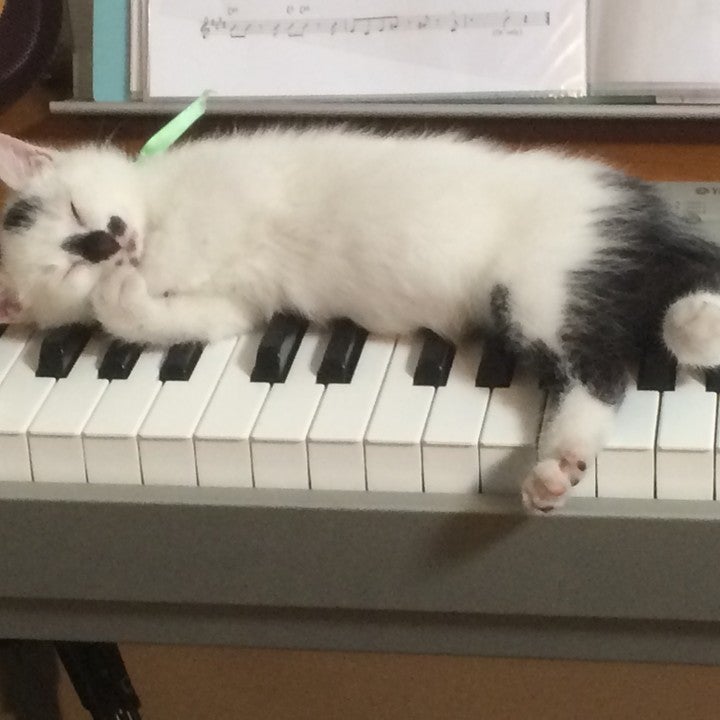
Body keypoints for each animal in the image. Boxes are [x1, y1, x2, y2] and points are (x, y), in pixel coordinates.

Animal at [1, 126, 719, 513]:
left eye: (75, 208)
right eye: (65, 267)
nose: (103, 243)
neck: (156, 204)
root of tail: (648, 219)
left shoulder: (230, 188)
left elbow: (177, 253)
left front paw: (131, 277)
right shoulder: (233, 306)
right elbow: (161, 315)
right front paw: (117, 293)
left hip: (540, 281)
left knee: (604, 365)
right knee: (611, 356)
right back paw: (561, 463)